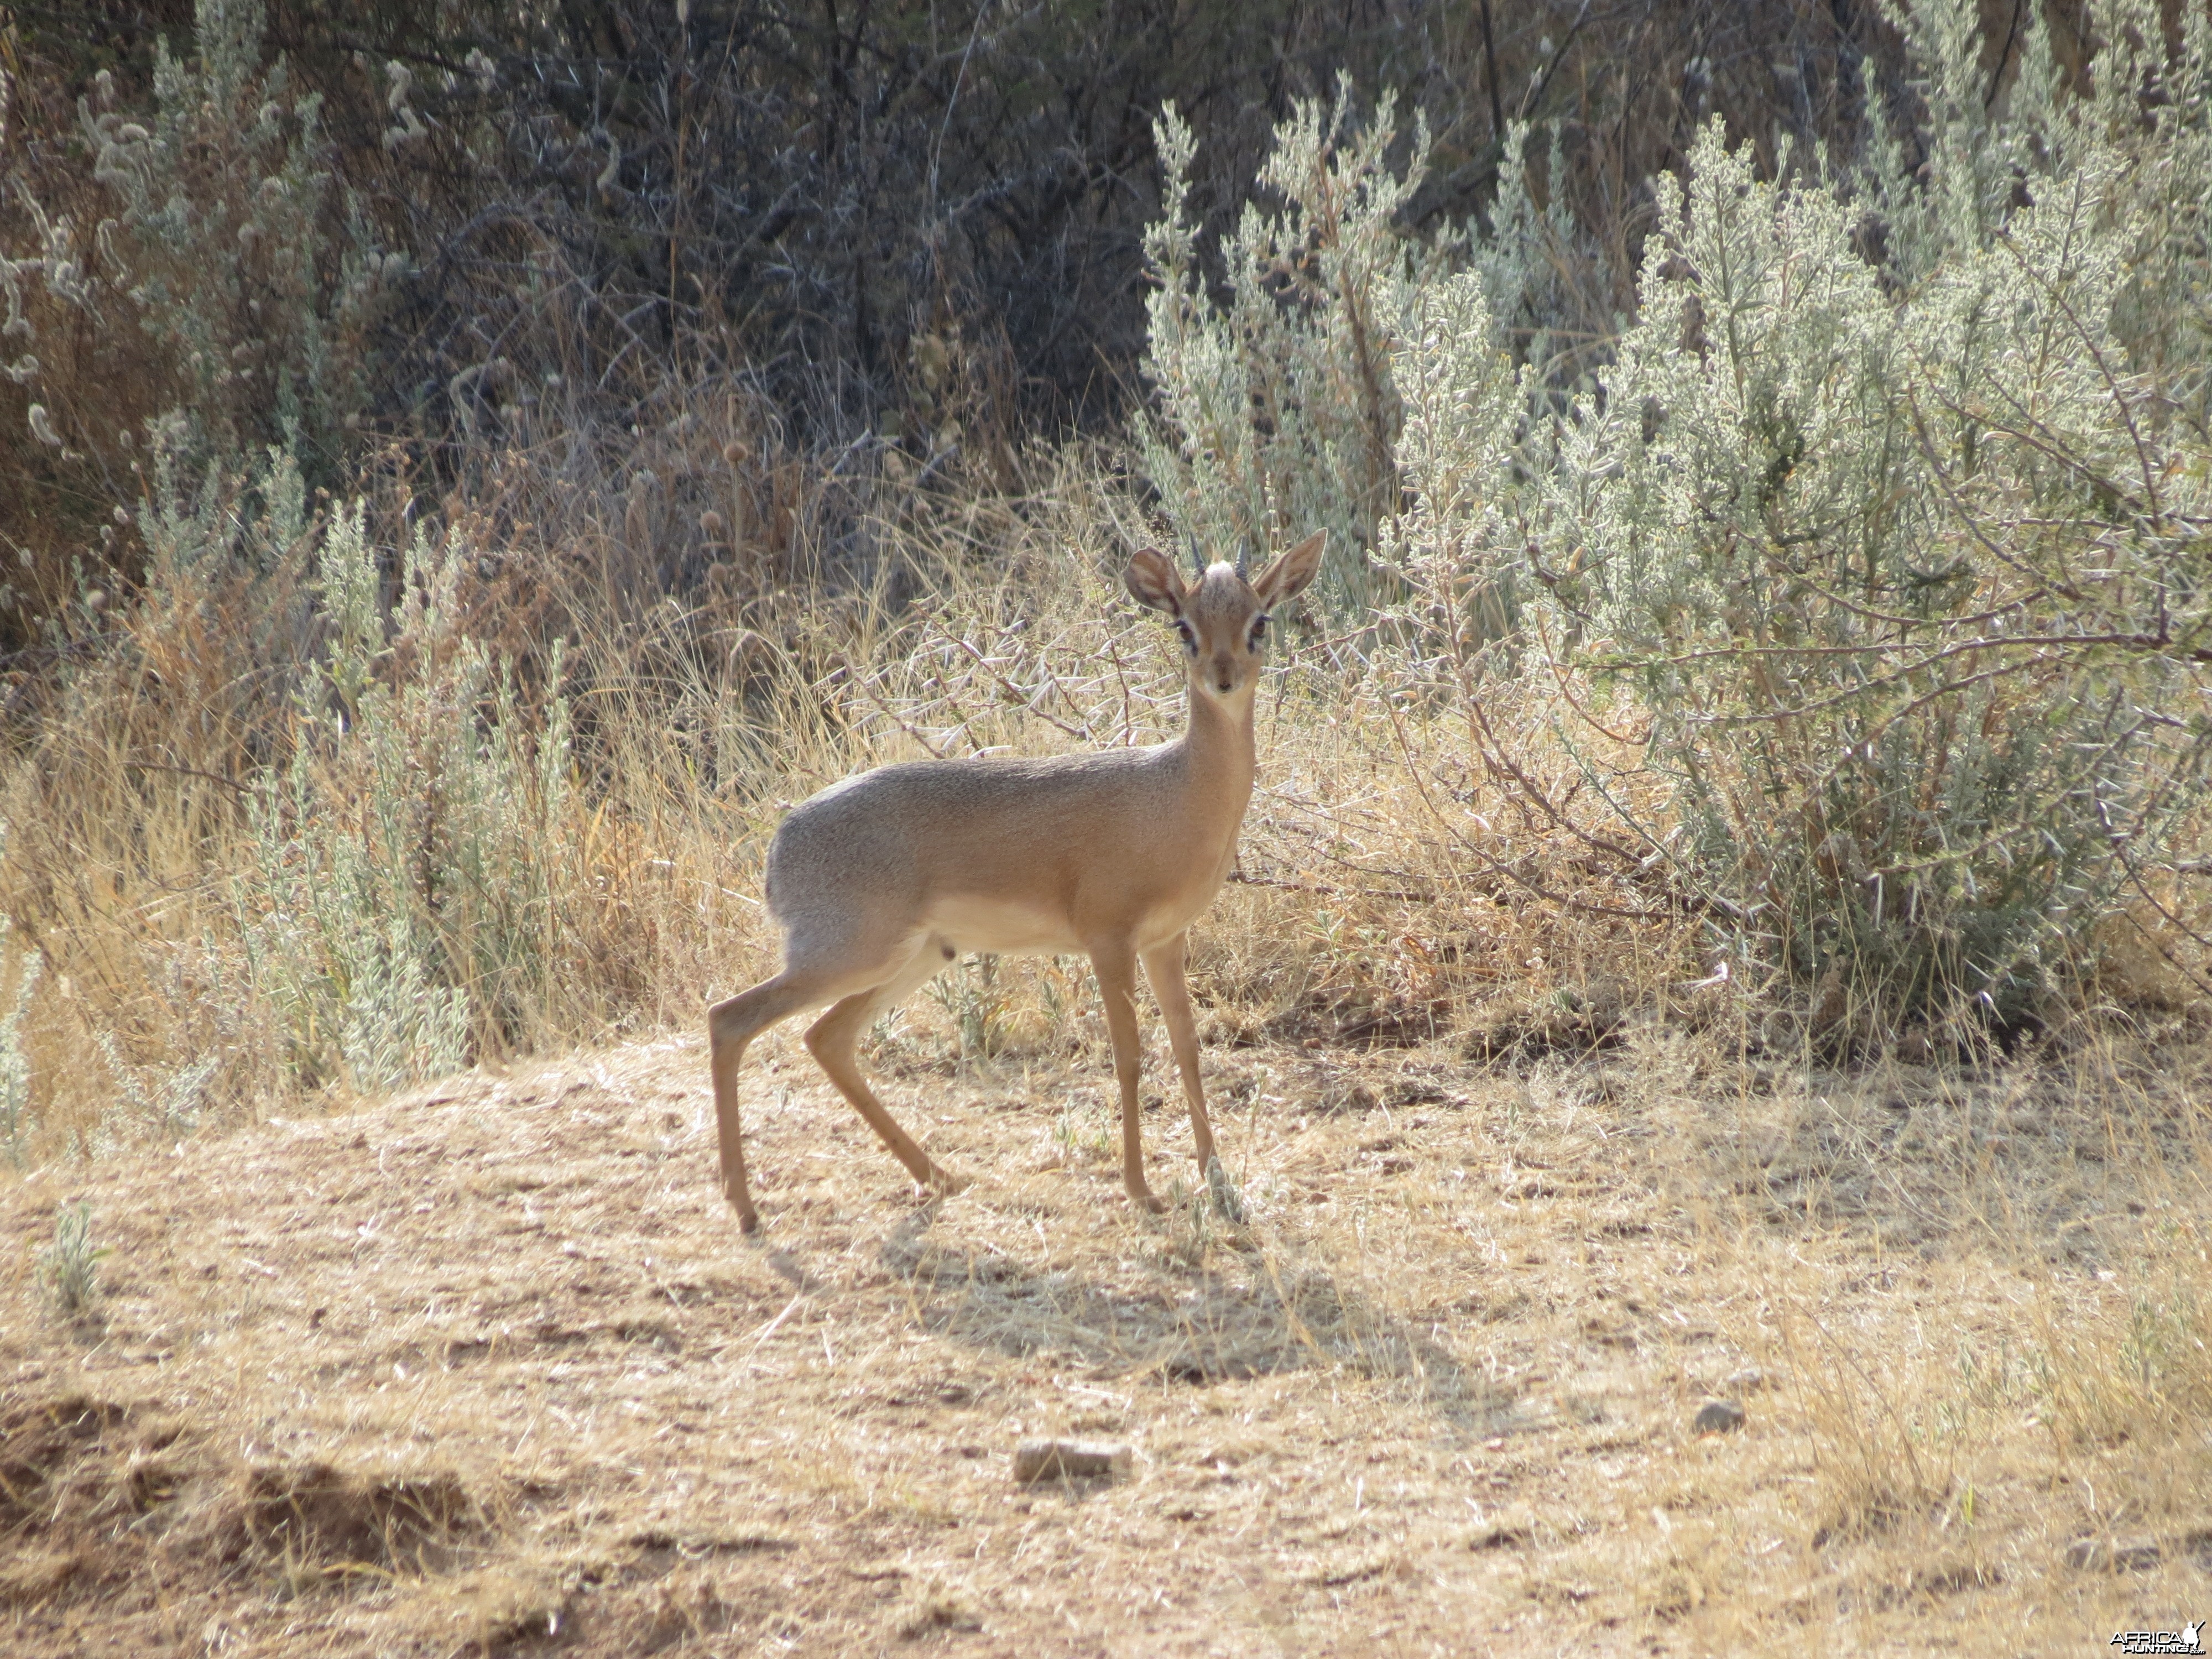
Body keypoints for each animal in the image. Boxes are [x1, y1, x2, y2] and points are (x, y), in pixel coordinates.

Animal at [712, 533, 1327, 1239]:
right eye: (1184, 627)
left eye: (1259, 622)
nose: (1223, 679)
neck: (1174, 794)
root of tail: (779, 845)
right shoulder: (1108, 941)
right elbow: (1128, 1055)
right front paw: (1141, 1190)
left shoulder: (1164, 941)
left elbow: (1187, 1048)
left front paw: (1218, 1183)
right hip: (847, 958)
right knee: (729, 1019)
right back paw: (745, 1207)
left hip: (912, 958)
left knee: (826, 1039)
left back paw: (937, 1177)